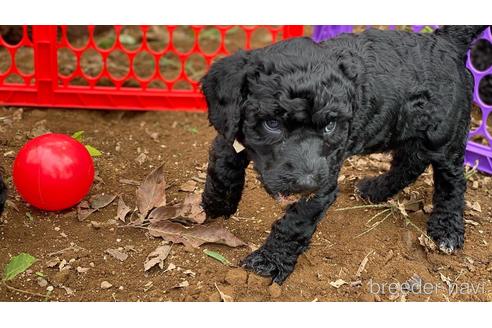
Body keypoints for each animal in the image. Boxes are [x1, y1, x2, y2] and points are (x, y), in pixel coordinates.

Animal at [200, 25, 488, 284]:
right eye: (272, 123)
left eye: (330, 125)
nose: (306, 183)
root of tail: (446, 40)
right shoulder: (231, 128)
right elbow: (223, 159)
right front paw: (217, 203)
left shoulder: (324, 179)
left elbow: (295, 221)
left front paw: (270, 262)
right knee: (410, 162)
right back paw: (375, 189)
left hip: (444, 137)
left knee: (452, 181)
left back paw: (447, 230)